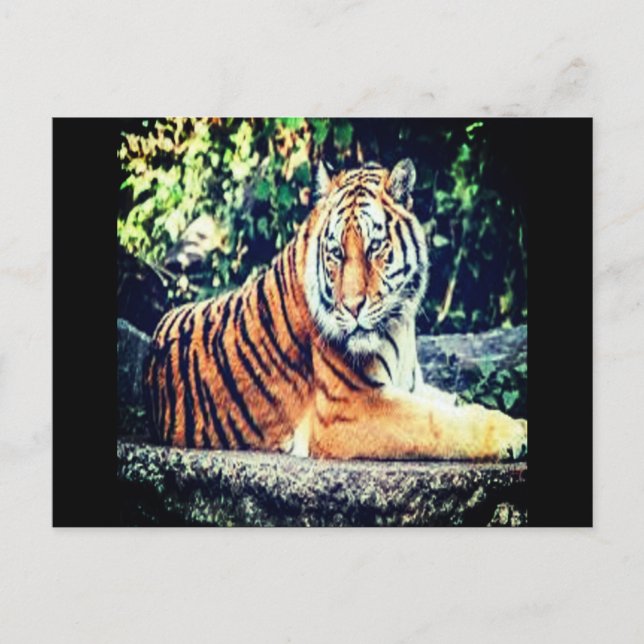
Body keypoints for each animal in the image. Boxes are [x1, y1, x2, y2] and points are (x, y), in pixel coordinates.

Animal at [144, 159, 527, 460]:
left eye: (374, 247)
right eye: (337, 253)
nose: (353, 307)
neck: (399, 324)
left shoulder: (410, 386)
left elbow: (455, 403)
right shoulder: (349, 408)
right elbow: (438, 423)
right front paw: (513, 434)